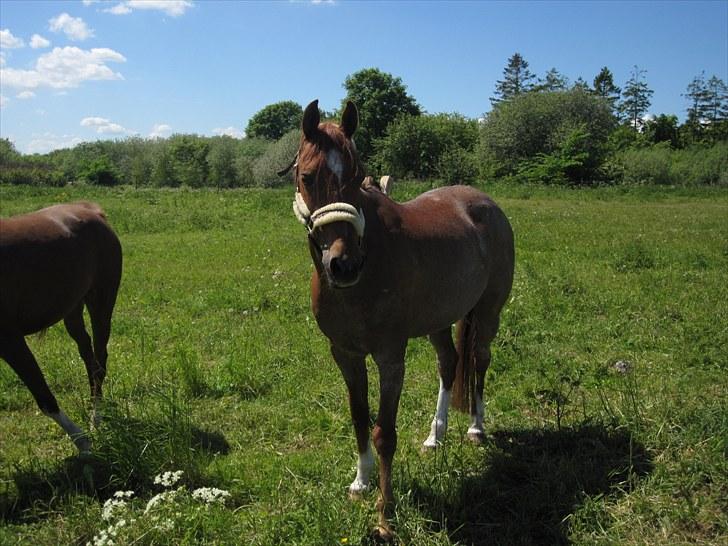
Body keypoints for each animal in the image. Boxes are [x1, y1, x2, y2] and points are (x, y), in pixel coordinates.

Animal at [0, 200, 122, 450]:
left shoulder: (10, 339)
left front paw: (83, 443)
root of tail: (92, 211)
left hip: (101, 302)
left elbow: (44, 396)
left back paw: (96, 419)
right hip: (73, 309)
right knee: (88, 354)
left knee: (99, 361)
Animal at [290, 99, 516, 536]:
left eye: (357, 176)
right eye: (307, 177)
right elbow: (359, 419)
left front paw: (385, 515)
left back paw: (476, 428)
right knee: (450, 364)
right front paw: (360, 484)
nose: (343, 265)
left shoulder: (390, 358)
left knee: (479, 361)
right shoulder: (345, 354)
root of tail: (488, 205)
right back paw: (435, 436)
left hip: (487, 313)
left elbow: (384, 433)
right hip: (438, 321)